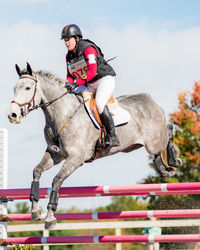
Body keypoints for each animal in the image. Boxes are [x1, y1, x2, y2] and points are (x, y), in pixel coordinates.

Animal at [7, 63, 183, 229]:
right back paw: (164, 168)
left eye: (28, 88)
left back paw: (174, 161)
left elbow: (56, 181)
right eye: (14, 88)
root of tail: (149, 99)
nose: (12, 115)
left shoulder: (75, 158)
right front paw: (35, 210)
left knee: (169, 130)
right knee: (161, 145)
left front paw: (50, 218)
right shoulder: (56, 155)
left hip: (154, 141)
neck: (62, 113)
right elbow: (36, 171)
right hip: (135, 145)